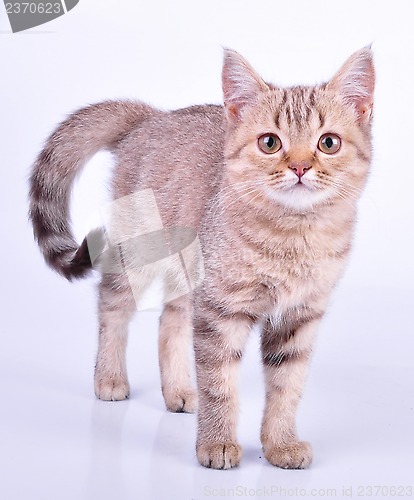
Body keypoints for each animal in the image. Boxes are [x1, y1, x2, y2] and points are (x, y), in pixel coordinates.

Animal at [29, 46, 376, 468]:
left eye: (328, 143)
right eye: (270, 143)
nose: (299, 167)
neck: (293, 237)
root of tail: (153, 118)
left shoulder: (299, 315)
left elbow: (286, 387)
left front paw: (280, 444)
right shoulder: (220, 310)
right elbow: (219, 383)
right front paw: (217, 443)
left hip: (188, 271)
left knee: (169, 322)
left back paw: (178, 391)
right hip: (138, 253)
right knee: (111, 304)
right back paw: (109, 378)